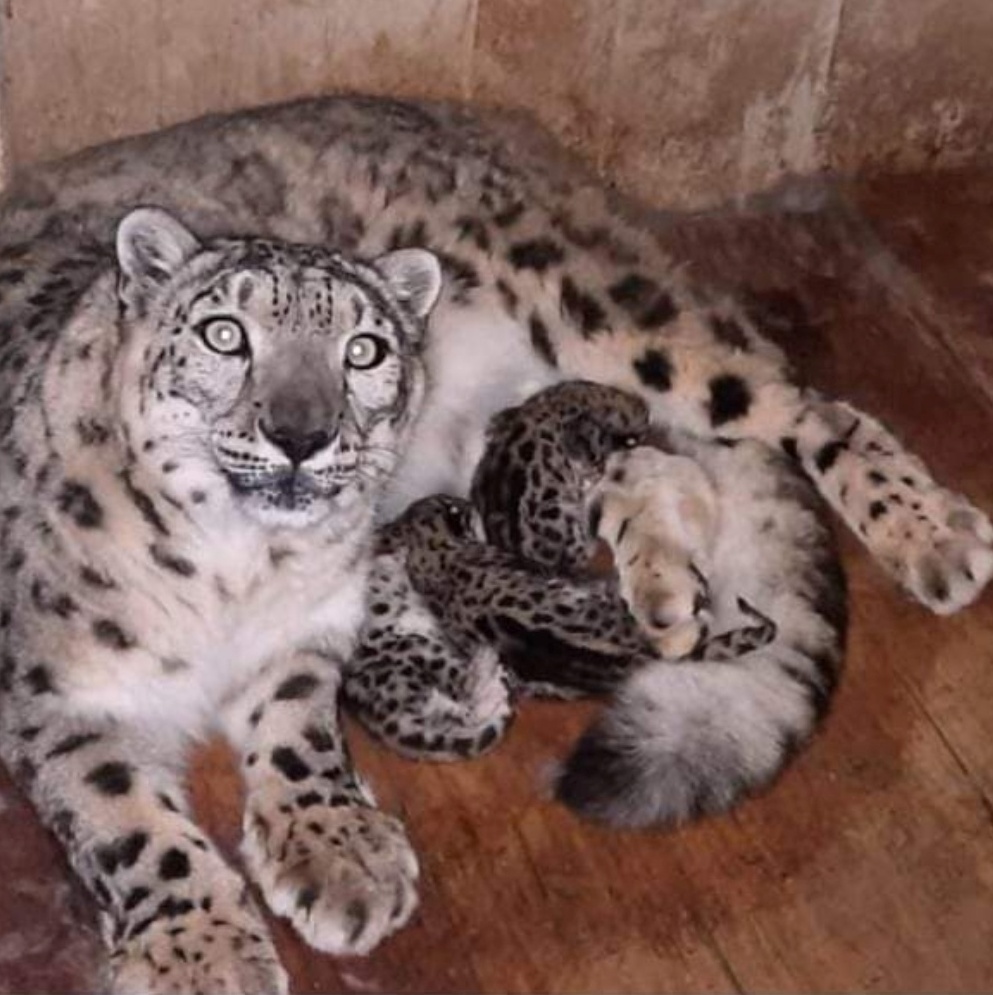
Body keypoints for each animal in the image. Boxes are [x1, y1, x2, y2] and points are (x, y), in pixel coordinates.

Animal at [0, 92, 991, 991]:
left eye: (362, 350)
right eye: (223, 334)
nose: (300, 432)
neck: (236, 567)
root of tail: (488, 120)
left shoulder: (305, 626)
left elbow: (296, 729)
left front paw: (336, 852)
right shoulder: (55, 687)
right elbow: (126, 819)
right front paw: (205, 953)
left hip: (608, 313)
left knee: (801, 408)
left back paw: (935, 535)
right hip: (519, 427)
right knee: (657, 463)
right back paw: (667, 595)